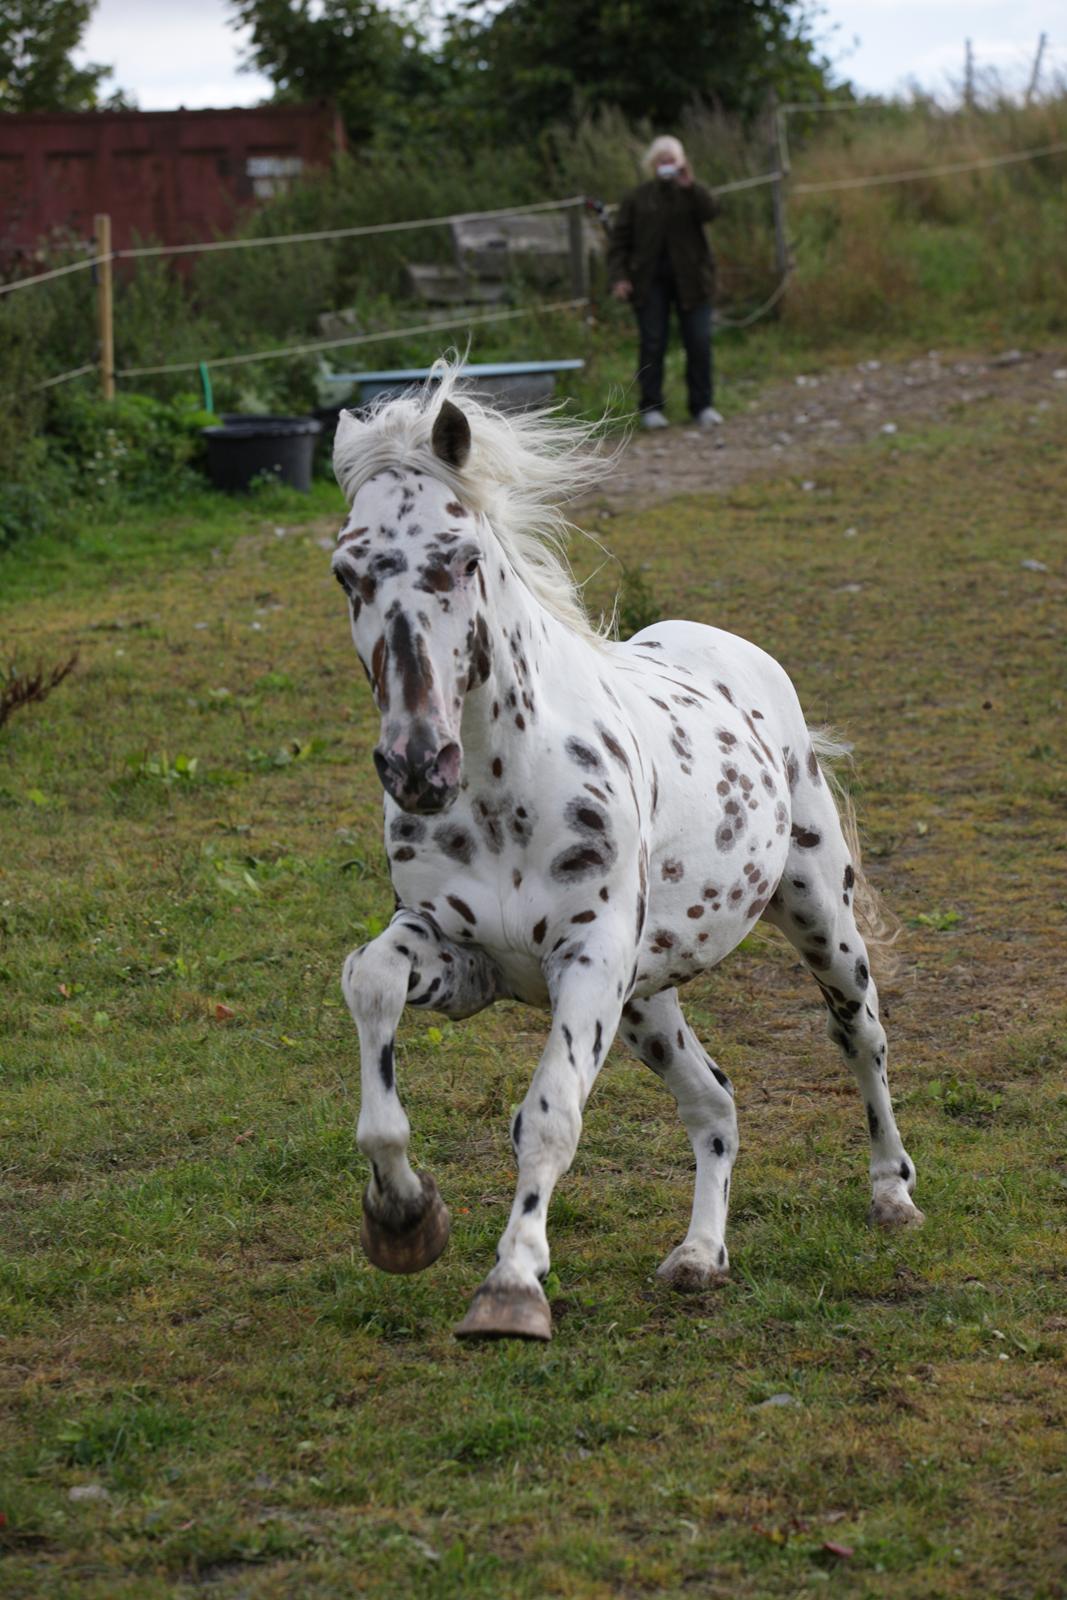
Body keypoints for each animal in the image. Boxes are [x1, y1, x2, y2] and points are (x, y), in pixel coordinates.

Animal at [329, 363, 921, 1337]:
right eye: (346, 570)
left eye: (463, 559)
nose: (416, 766)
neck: (504, 785)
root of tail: (729, 648)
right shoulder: (460, 957)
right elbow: (369, 982)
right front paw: (403, 1217)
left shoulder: (589, 957)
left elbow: (548, 1117)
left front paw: (511, 1287)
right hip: (648, 999)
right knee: (713, 1100)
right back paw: (698, 1256)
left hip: (816, 920)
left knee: (859, 1039)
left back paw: (890, 1195)